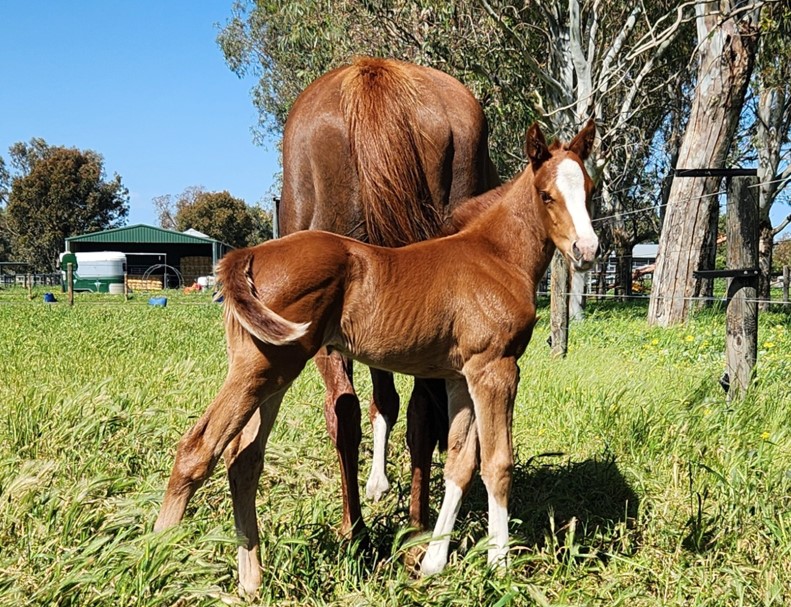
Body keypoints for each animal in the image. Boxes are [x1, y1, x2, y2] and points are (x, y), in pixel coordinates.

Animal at [155, 119, 596, 592]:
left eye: (590, 188)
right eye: (546, 194)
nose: (587, 251)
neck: (495, 256)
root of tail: (247, 253)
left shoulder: (461, 376)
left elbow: (460, 462)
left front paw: (434, 561)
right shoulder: (496, 370)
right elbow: (497, 463)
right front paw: (500, 567)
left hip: (271, 374)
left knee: (243, 460)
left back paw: (251, 580)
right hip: (260, 369)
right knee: (198, 449)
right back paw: (153, 557)